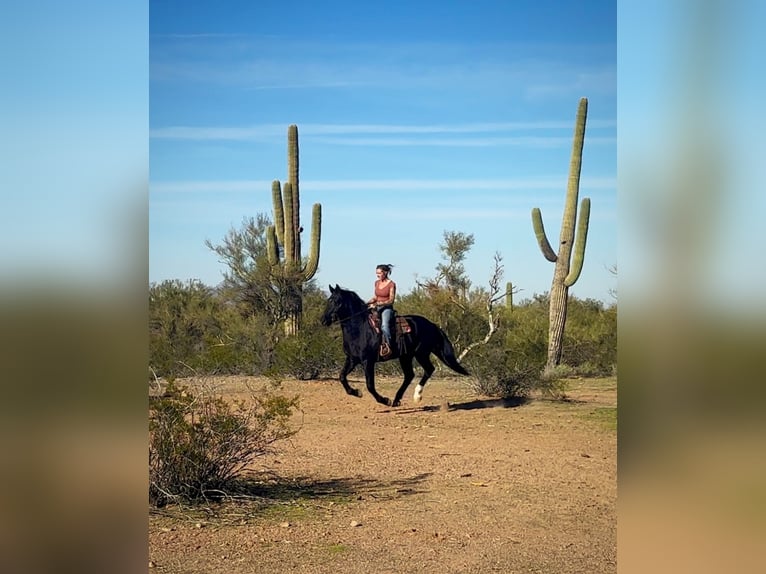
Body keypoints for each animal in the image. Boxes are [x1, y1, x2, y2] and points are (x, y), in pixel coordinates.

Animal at [320, 284, 470, 407]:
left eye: (336, 301)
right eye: (329, 300)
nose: (323, 320)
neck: (360, 329)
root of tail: (431, 325)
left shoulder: (368, 361)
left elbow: (370, 385)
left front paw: (384, 400)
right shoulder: (352, 359)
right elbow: (342, 377)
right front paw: (356, 392)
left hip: (420, 353)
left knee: (429, 369)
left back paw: (416, 396)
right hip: (406, 356)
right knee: (410, 375)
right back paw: (397, 399)